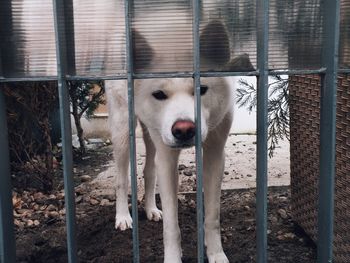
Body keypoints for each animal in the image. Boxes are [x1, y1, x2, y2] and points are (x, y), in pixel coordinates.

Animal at [105, 17, 253, 262]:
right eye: (159, 94)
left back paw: (151, 210)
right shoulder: (167, 159)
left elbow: (212, 217)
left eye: (201, 89)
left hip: (150, 135)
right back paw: (123, 217)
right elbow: (172, 226)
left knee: (148, 171)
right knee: (122, 178)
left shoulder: (215, 154)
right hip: (122, 131)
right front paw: (174, 257)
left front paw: (216, 254)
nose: (184, 130)